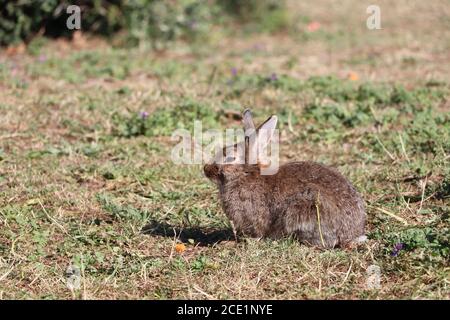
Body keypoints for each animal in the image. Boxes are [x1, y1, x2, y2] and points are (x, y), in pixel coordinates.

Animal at [204, 109, 366, 248]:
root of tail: (351, 234)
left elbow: (258, 232)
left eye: (230, 158)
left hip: (305, 208)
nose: (206, 169)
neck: (245, 174)